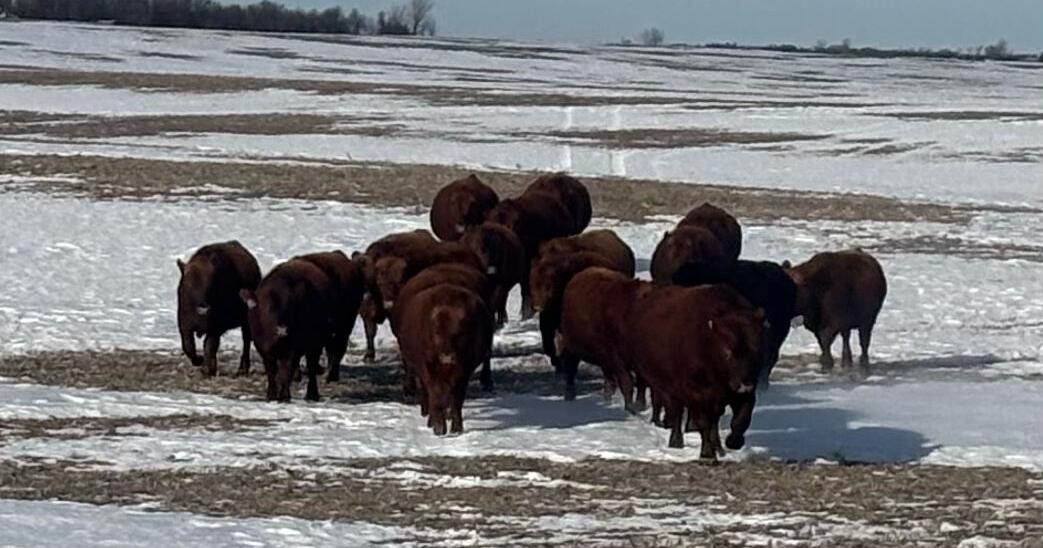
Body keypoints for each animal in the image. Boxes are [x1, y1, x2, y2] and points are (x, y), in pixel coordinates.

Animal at [176, 240, 261, 377]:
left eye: (210, 283)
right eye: (186, 285)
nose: (202, 309)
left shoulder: (215, 327)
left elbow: (209, 345)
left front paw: (207, 368)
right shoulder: (185, 327)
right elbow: (188, 346)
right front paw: (201, 362)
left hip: (246, 322)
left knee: (246, 342)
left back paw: (242, 369)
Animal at [240, 259, 335, 402]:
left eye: (291, 307)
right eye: (268, 307)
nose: (282, 329)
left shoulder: (293, 349)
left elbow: (286, 371)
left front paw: (284, 396)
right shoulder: (263, 348)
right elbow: (271, 371)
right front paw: (271, 395)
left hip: (316, 343)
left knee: (311, 367)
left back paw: (312, 394)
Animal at [394, 283, 494, 435]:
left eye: (459, 332)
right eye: (436, 332)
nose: (447, 355)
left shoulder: (463, 373)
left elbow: (456, 399)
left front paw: (456, 428)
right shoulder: (428, 370)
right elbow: (435, 394)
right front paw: (439, 427)